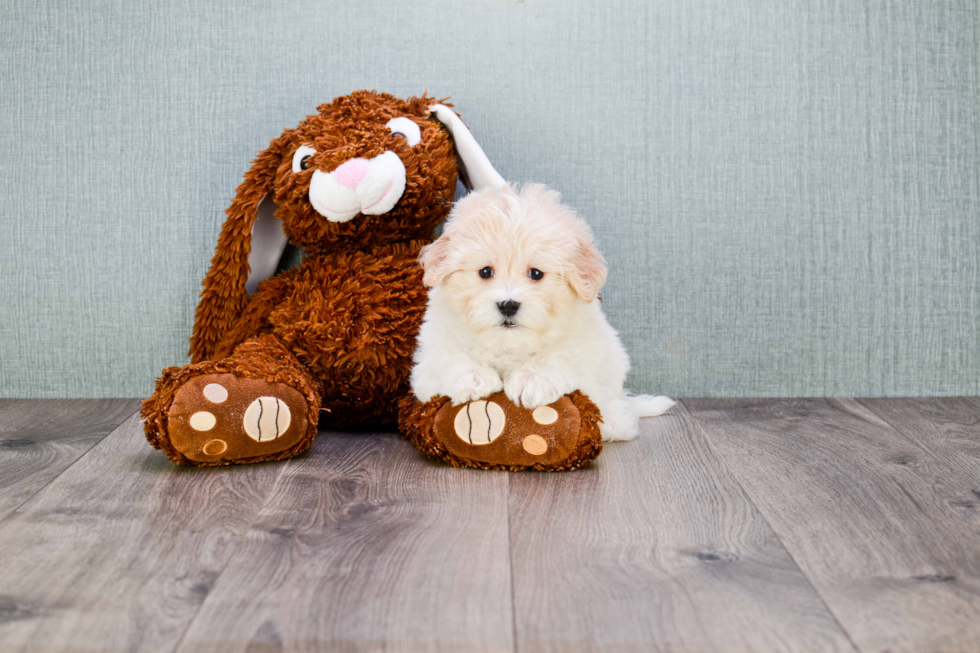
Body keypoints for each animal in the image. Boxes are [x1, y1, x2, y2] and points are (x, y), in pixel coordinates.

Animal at [408, 181, 672, 440]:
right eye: (485, 272)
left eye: (536, 273)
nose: (508, 304)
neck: (508, 344)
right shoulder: (430, 354)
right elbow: (449, 355)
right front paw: (474, 377)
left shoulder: (588, 346)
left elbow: (563, 355)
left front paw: (531, 379)